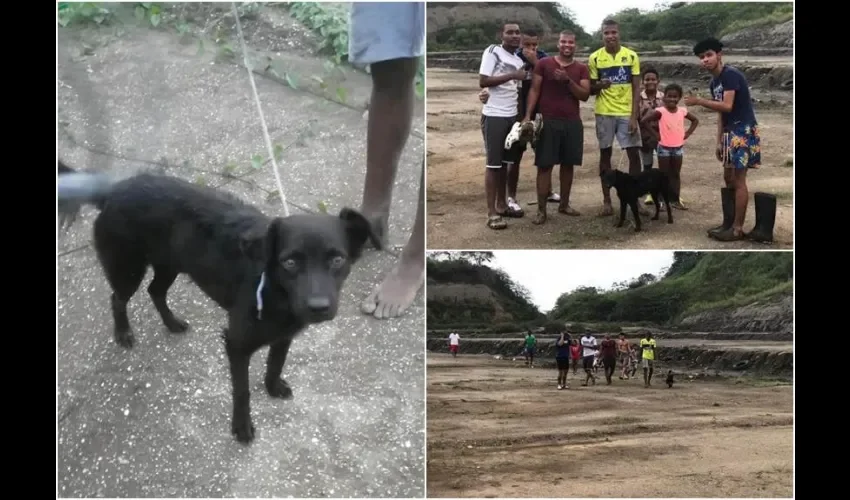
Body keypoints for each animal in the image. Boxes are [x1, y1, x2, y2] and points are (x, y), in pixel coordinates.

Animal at [58, 162, 376, 444]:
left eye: (337, 260)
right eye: (290, 262)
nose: (318, 307)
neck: (273, 289)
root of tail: (113, 191)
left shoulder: (283, 336)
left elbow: (276, 363)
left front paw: (272, 387)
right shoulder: (236, 345)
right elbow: (242, 391)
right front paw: (241, 427)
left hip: (170, 265)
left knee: (155, 291)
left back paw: (172, 323)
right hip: (128, 270)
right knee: (118, 298)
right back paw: (123, 333)